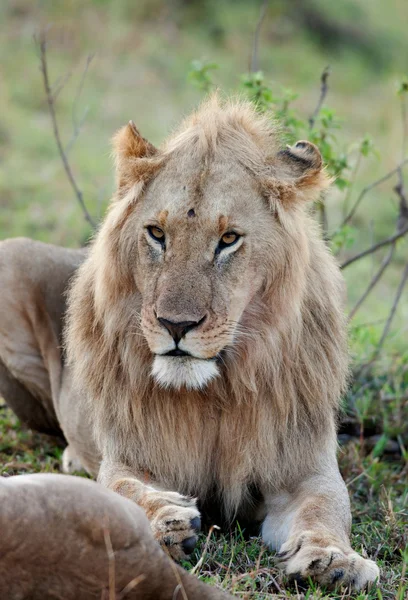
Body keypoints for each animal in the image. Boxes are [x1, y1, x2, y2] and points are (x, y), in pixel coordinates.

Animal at [0, 98, 380, 592]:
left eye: (229, 239)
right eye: (157, 234)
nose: (175, 325)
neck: (214, 391)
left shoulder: (305, 469)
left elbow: (326, 509)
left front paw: (335, 560)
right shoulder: (129, 457)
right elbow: (124, 488)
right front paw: (167, 522)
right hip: (10, 257)